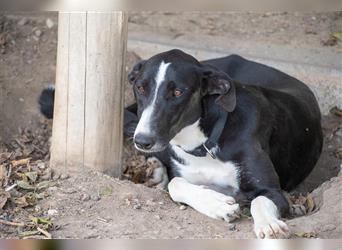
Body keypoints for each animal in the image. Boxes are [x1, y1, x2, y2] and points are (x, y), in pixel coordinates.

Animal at [40, 48, 324, 238]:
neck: (205, 144)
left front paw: (269, 224)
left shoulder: (272, 190)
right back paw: (154, 169)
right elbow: (176, 184)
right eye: (141, 88)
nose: (142, 141)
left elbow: (259, 200)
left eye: (177, 92)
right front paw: (216, 204)